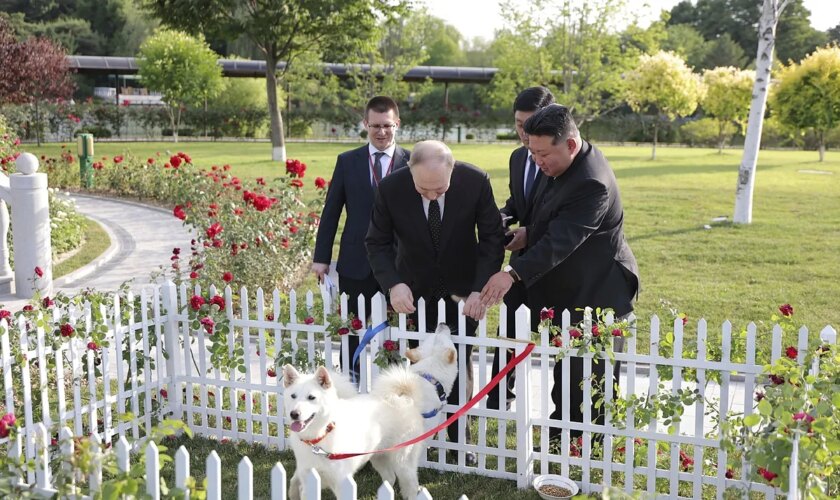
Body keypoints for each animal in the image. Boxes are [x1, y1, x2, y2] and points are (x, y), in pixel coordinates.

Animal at [282, 322, 456, 498]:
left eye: (311, 397)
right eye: (293, 396)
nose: (442, 324)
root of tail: (406, 398)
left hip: (390, 458)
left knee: (401, 482)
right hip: (389, 458)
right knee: (398, 480)